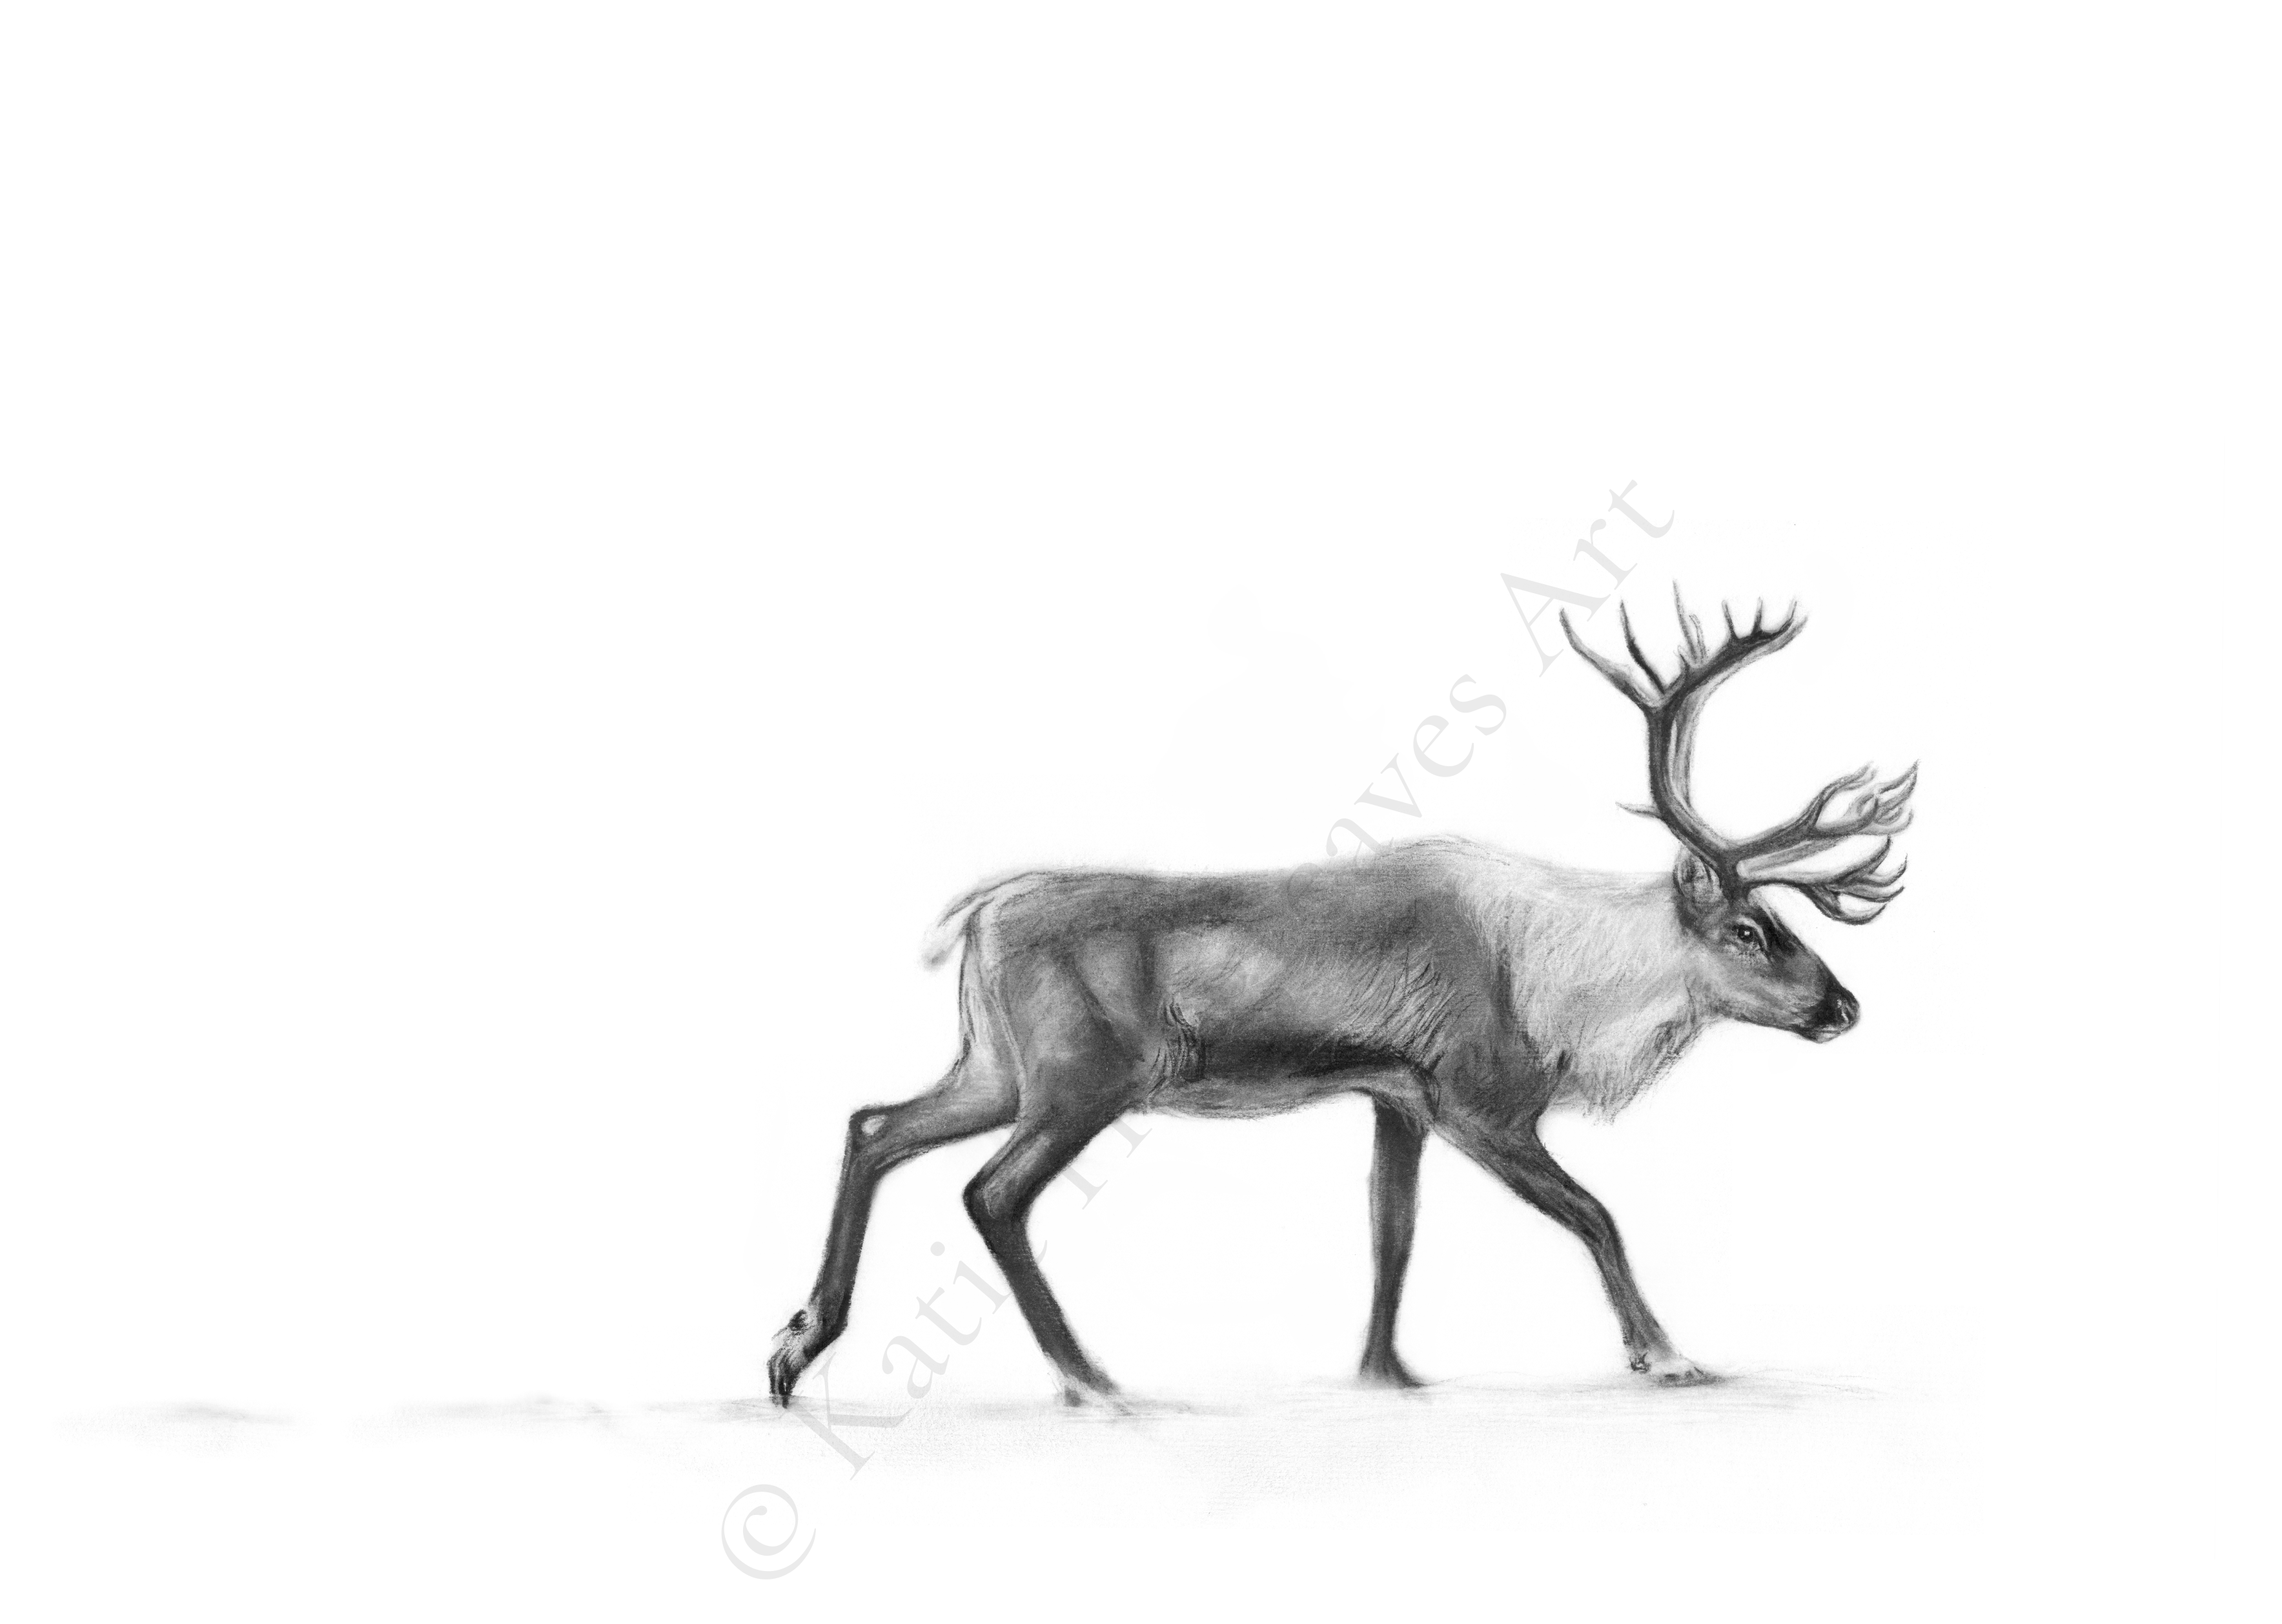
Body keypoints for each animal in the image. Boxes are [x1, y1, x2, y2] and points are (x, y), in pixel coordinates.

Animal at [767, 591, 1913, 1407]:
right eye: (1750, 930)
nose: (1842, 1008)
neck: (1556, 987)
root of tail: (979, 911)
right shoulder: (1474, 1100)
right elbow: (1593, 1212)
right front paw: (1664, 1356)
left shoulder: (1392, 1097)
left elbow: (1388, 1230)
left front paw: (1384, 1373)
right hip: (1081, 1079)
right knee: (990, 1194)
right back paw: (1089, 1380)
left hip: (995, 1067)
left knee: (872, 1125)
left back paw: (794, 1348)